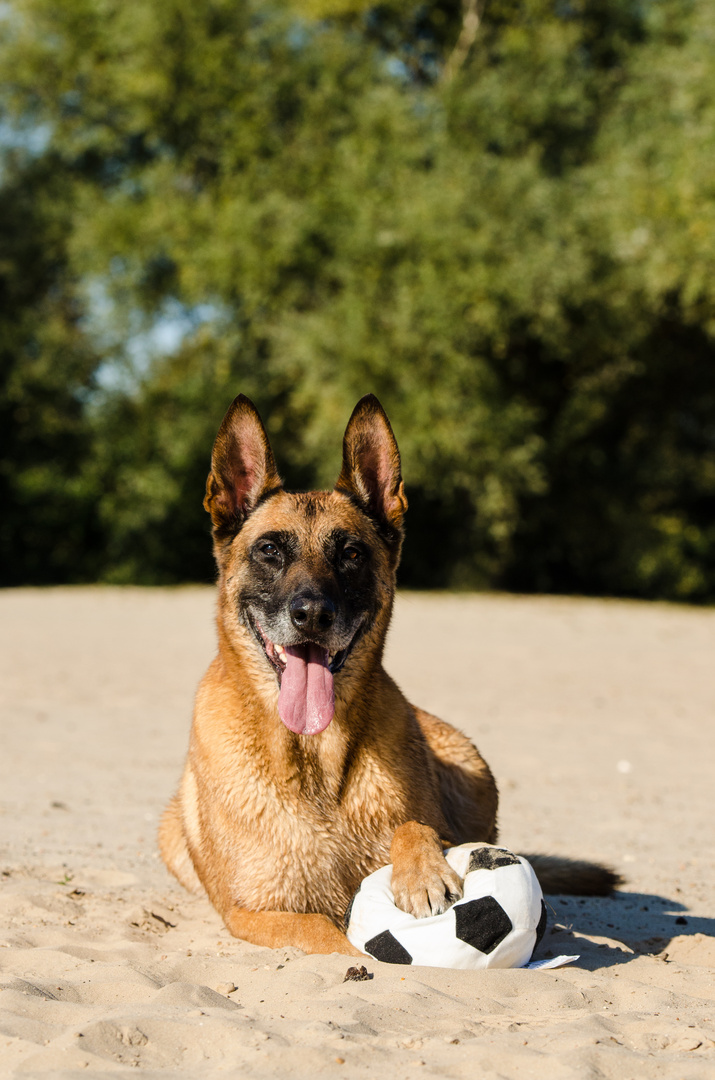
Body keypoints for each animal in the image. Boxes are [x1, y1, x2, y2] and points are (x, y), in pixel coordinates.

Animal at [159, 395, 617, 954]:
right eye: (270, 551)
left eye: (351, 554)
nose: (313, 615)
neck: (316, 759)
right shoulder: (256, 913)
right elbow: (332, 938)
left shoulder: (433, 830)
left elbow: (416, 828)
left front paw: (423, 874)